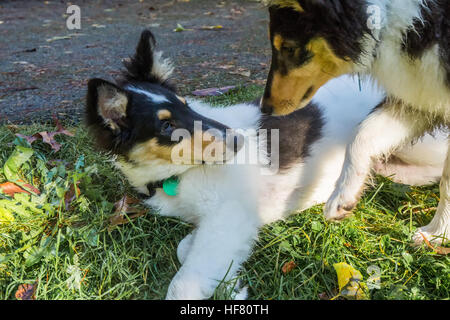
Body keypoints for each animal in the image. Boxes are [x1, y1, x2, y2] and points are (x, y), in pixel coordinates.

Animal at [86, 30, 444, 300]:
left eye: (187, 107)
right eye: (166, 125)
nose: (238, 141)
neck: (178, 175)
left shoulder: (229, 213)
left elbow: (185, 280)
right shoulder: (233, 218)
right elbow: (188, 249)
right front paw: (231, 286)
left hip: (417, 138)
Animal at [260, 0, 450, 245]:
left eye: (289, 48)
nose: (265, 108)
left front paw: (438, 233)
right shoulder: (419, 93)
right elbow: (363, 134)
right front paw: (342, 198)